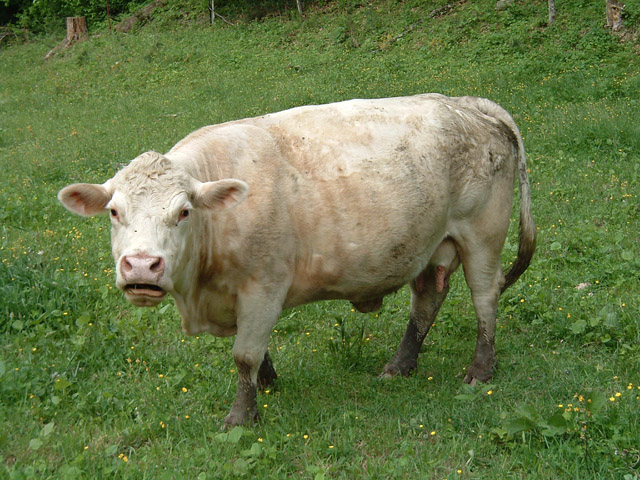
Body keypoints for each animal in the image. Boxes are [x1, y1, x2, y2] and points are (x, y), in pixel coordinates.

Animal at [58, 93, 536, 427]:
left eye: (184, 212)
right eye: (114, 212)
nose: (141, 266)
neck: (200, 292)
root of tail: (467, 103)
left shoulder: (264, 286)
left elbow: (244, 354)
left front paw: (242, 415)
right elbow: (255, 350)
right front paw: (268, 384)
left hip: (482, 236)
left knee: (485, 297)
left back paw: (480, 369)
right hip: (431, 244)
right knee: (427, 300)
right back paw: (399, 366)